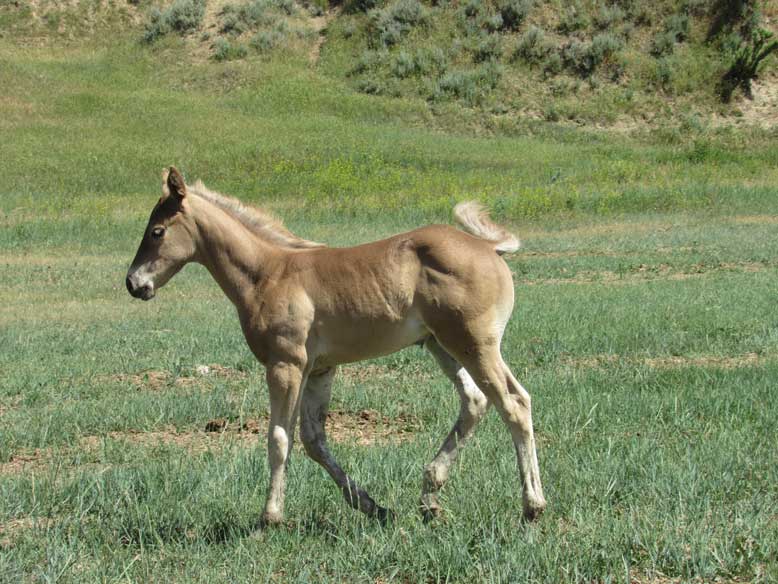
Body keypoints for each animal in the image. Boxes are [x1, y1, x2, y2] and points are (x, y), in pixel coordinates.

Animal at [126, 167, 546, 526]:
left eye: (157, 231)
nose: (133, 283)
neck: (267, 274)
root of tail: (488, 247)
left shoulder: (286, 364)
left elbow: (279, 438)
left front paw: (270, 517)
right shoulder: (321, 369)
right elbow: (313, 442)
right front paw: (372, 506)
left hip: (474, 344)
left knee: (513, 403)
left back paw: (532, 506)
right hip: (442, 345)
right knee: (476, 401)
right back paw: (430, 495)